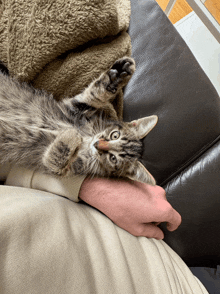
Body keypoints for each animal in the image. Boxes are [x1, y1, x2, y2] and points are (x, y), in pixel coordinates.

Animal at [0, 56, 158, 184]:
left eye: (113, 158)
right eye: (115, 135)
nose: (98, 144)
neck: (87, 137)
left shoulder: (59, 168)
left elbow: (56, 159)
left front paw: (71, 134)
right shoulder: (73, 108)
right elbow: (95, 94)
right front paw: (118, 74)